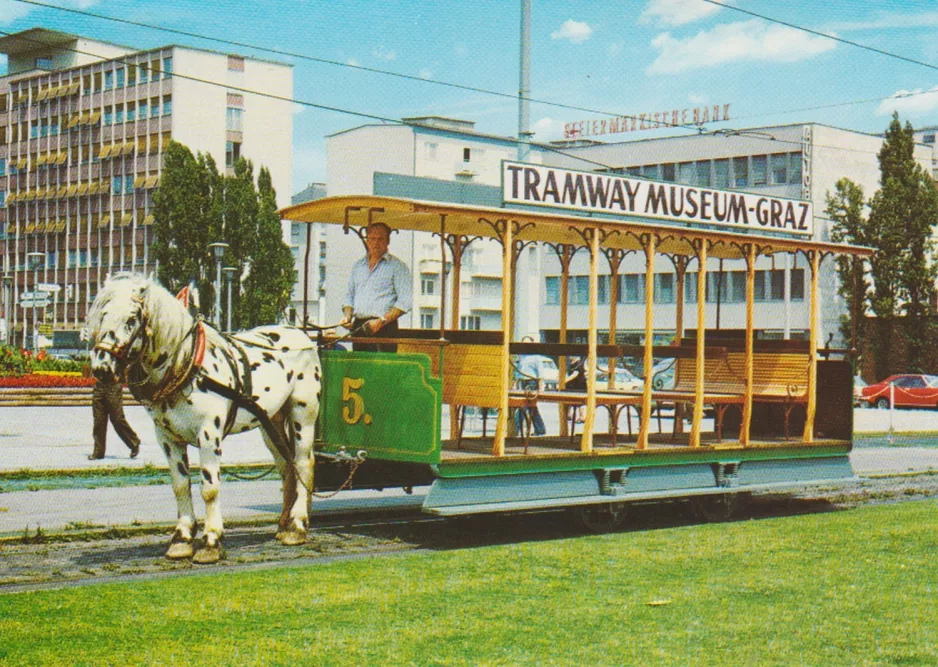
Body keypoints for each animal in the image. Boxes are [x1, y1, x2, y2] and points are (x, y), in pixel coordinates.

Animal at [88, 276, 322, 564]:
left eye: (132, 318)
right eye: (103, 315)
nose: (101, 368)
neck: (187, 366)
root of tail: (303, 336)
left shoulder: (209, 435)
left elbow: (209, 488)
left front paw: (211, 541)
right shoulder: (168, 438)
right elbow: (180, 485)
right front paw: (182, 539)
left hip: (303, 414)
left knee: (302, 463)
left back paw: (297, 526)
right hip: (271, 423)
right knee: (287, 466)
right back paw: (283, 525)